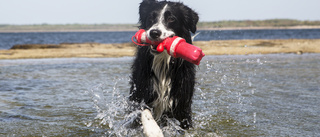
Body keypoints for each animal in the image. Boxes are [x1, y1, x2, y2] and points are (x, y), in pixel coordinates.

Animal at [129, 0, 199, 131]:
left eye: (171, 19)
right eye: (151, 17)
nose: (154, 32)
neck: (163, 61)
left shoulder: (181, 103)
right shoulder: (141, 93)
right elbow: (145, 114)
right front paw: (153, 131)